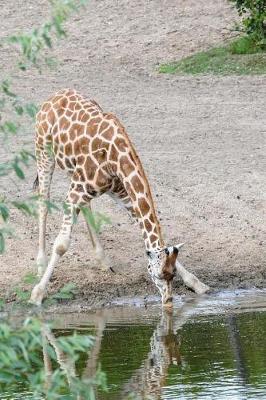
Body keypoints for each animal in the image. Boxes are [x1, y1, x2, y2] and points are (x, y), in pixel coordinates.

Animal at [29, 88, 210, 306]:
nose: (167, 301)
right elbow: (62, 244)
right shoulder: (76, 192)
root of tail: (53, 97)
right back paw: (40, 265)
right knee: (43, 202)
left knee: (85, 206)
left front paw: (196, 283)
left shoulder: (120, 191)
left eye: (172, 274)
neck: (116, 158)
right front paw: (37, 294)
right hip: (44, 153)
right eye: (157, 275)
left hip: (75, 174)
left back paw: (103, 261)